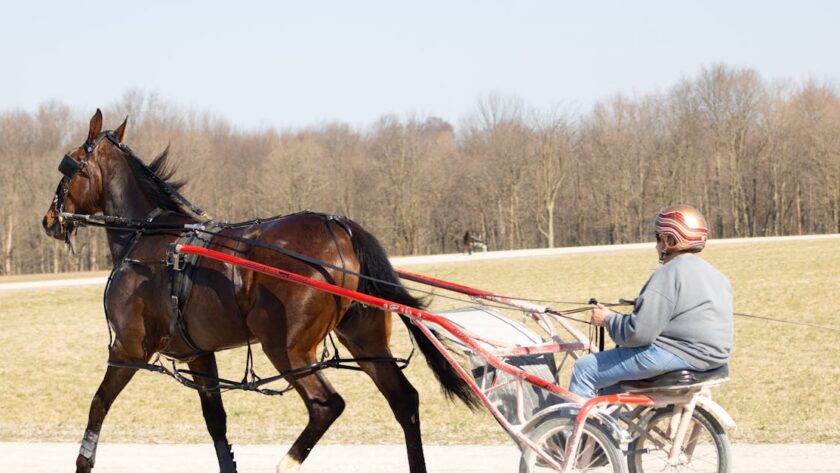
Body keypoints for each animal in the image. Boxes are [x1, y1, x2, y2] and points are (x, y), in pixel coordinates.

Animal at [41, 110, 477, 473]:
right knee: (404, 401)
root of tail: (343, 228)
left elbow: (98, 405)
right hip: (363, 338)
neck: (149, 237)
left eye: (70, 165)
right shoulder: (198, 353)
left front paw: (83, 461)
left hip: (286, 346)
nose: (49, 219)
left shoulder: (128, 349)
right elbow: (216, 424)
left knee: (326, 405)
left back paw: (287, 463)